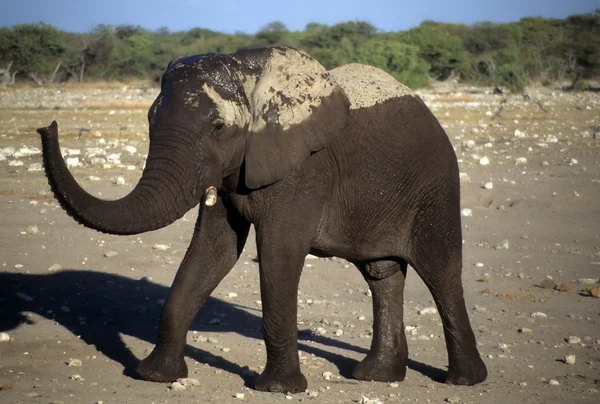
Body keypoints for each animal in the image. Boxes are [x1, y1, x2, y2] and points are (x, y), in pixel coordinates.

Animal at [36, 45, 488, 392]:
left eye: (219, 127)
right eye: (149, 120)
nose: (47, 125)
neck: (248, 73)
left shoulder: (302, 169)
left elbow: (278, 254)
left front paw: (277, 389)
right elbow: (212, 252)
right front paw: (155, 376)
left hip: (435, 186)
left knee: (441, 273)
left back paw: (464, 381)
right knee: (382, 274)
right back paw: (376, 377)